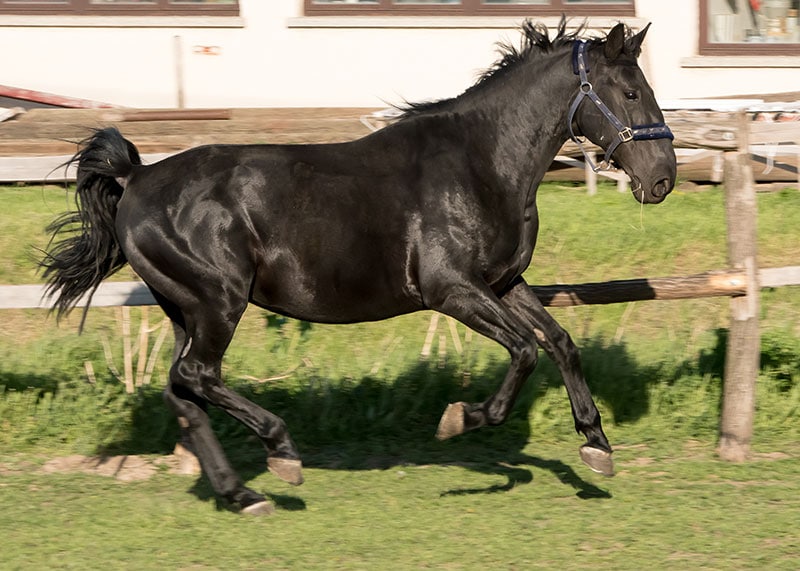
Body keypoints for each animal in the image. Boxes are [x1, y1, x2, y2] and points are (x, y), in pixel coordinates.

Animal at [41, 19, 676, 515]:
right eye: (629, 91)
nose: (663, 178)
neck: (481, 163)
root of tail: (136, 179)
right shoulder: (451, 289)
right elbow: (523, 351)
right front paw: (461, 418)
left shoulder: (502, 282)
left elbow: (561, 342)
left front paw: (596, 445)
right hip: (218, 302)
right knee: (198, 378)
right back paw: (282, 454)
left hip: (185, 309)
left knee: (182, 392)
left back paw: (243, 495)